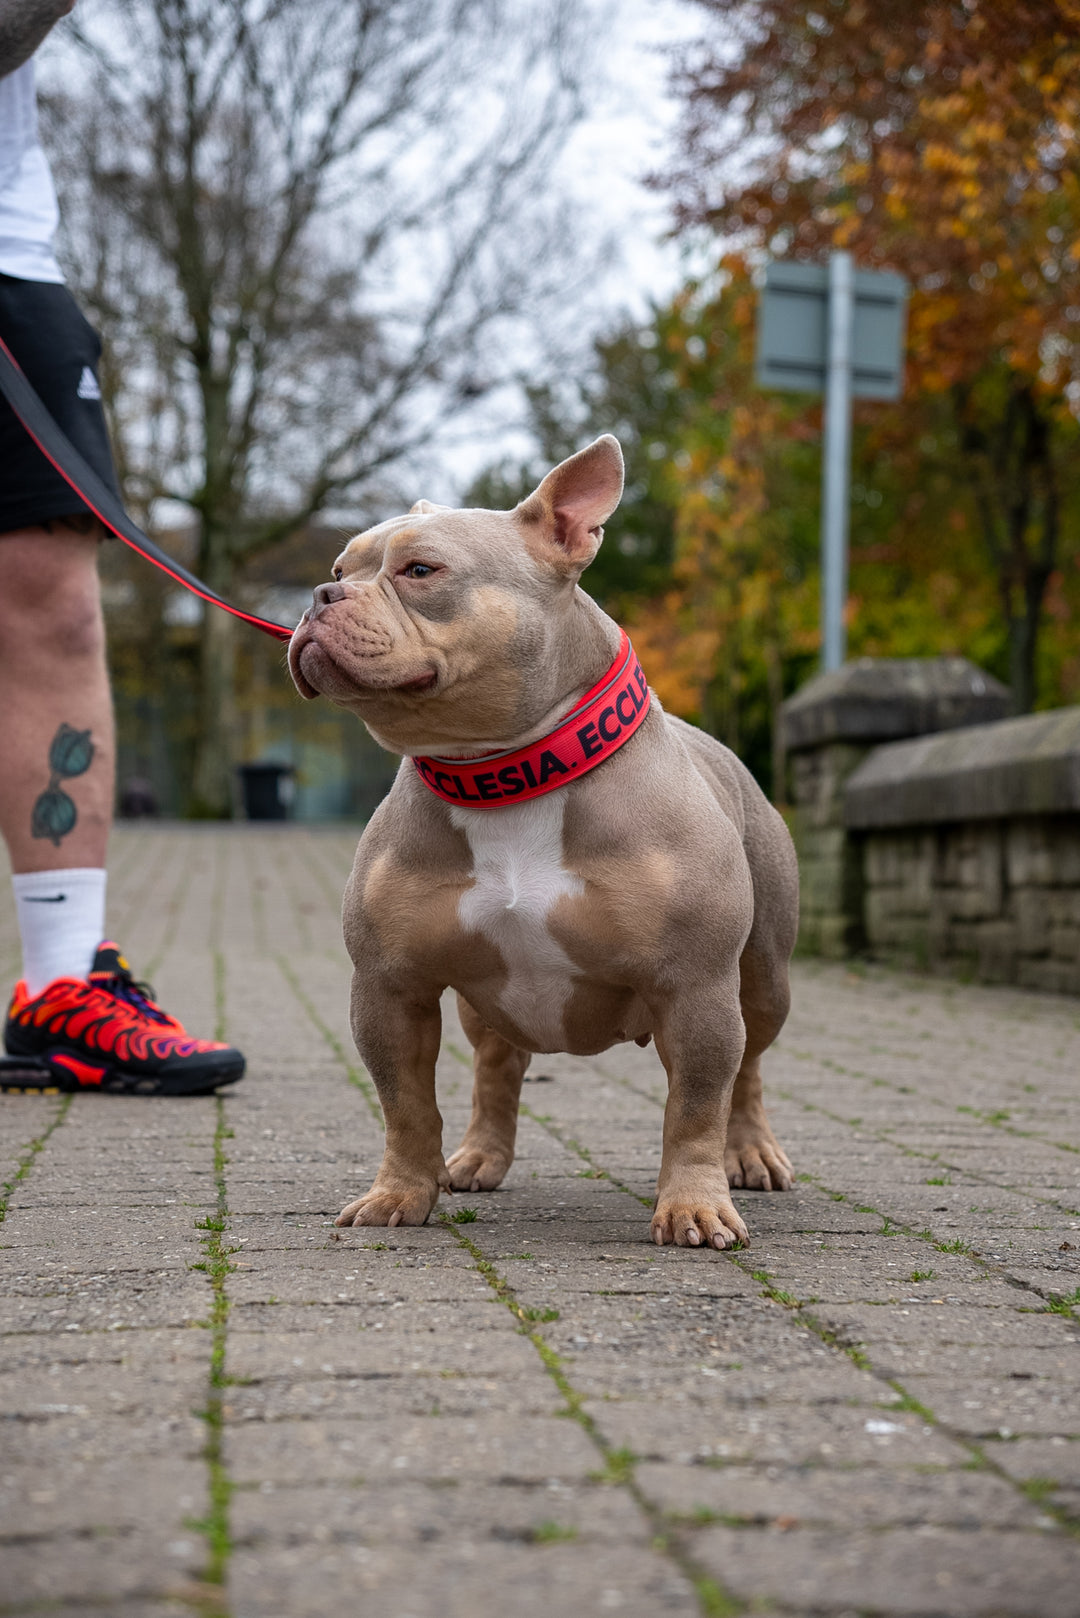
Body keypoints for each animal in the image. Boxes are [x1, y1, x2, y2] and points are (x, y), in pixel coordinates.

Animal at [291, 440, 799, 1249]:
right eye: (342, 568)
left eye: (420, 571)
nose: (319, 594)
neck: (505, 776)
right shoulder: (390, 987)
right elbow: (406, 1105)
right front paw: (400, 1192)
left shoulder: (696, 988)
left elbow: (695, 1107)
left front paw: (693, 1204)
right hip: (486, 1000)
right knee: (497, 1068)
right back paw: (476, 1158)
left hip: (763, 980)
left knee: (746, 1070)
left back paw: (749, 1152)